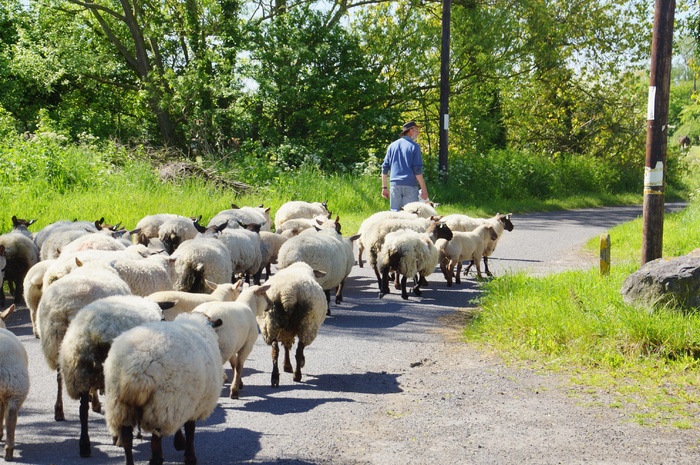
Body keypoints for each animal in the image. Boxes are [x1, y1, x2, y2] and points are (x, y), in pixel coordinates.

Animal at [37, 260, 133, 422]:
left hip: (56, 341)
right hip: (83, 343)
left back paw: (59, 410)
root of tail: (65, 306)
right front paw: (94, 401)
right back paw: (93, 402)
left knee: (59, 376)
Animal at [103, 310, 224, 464]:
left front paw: (180, 443)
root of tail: (134, 367)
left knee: (127, 440)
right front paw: (189, 456)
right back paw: (157, 458)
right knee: (155, 442)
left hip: (119, 404)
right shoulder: (191, 403)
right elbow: (190, 429)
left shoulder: (183, 402)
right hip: (161, 405)